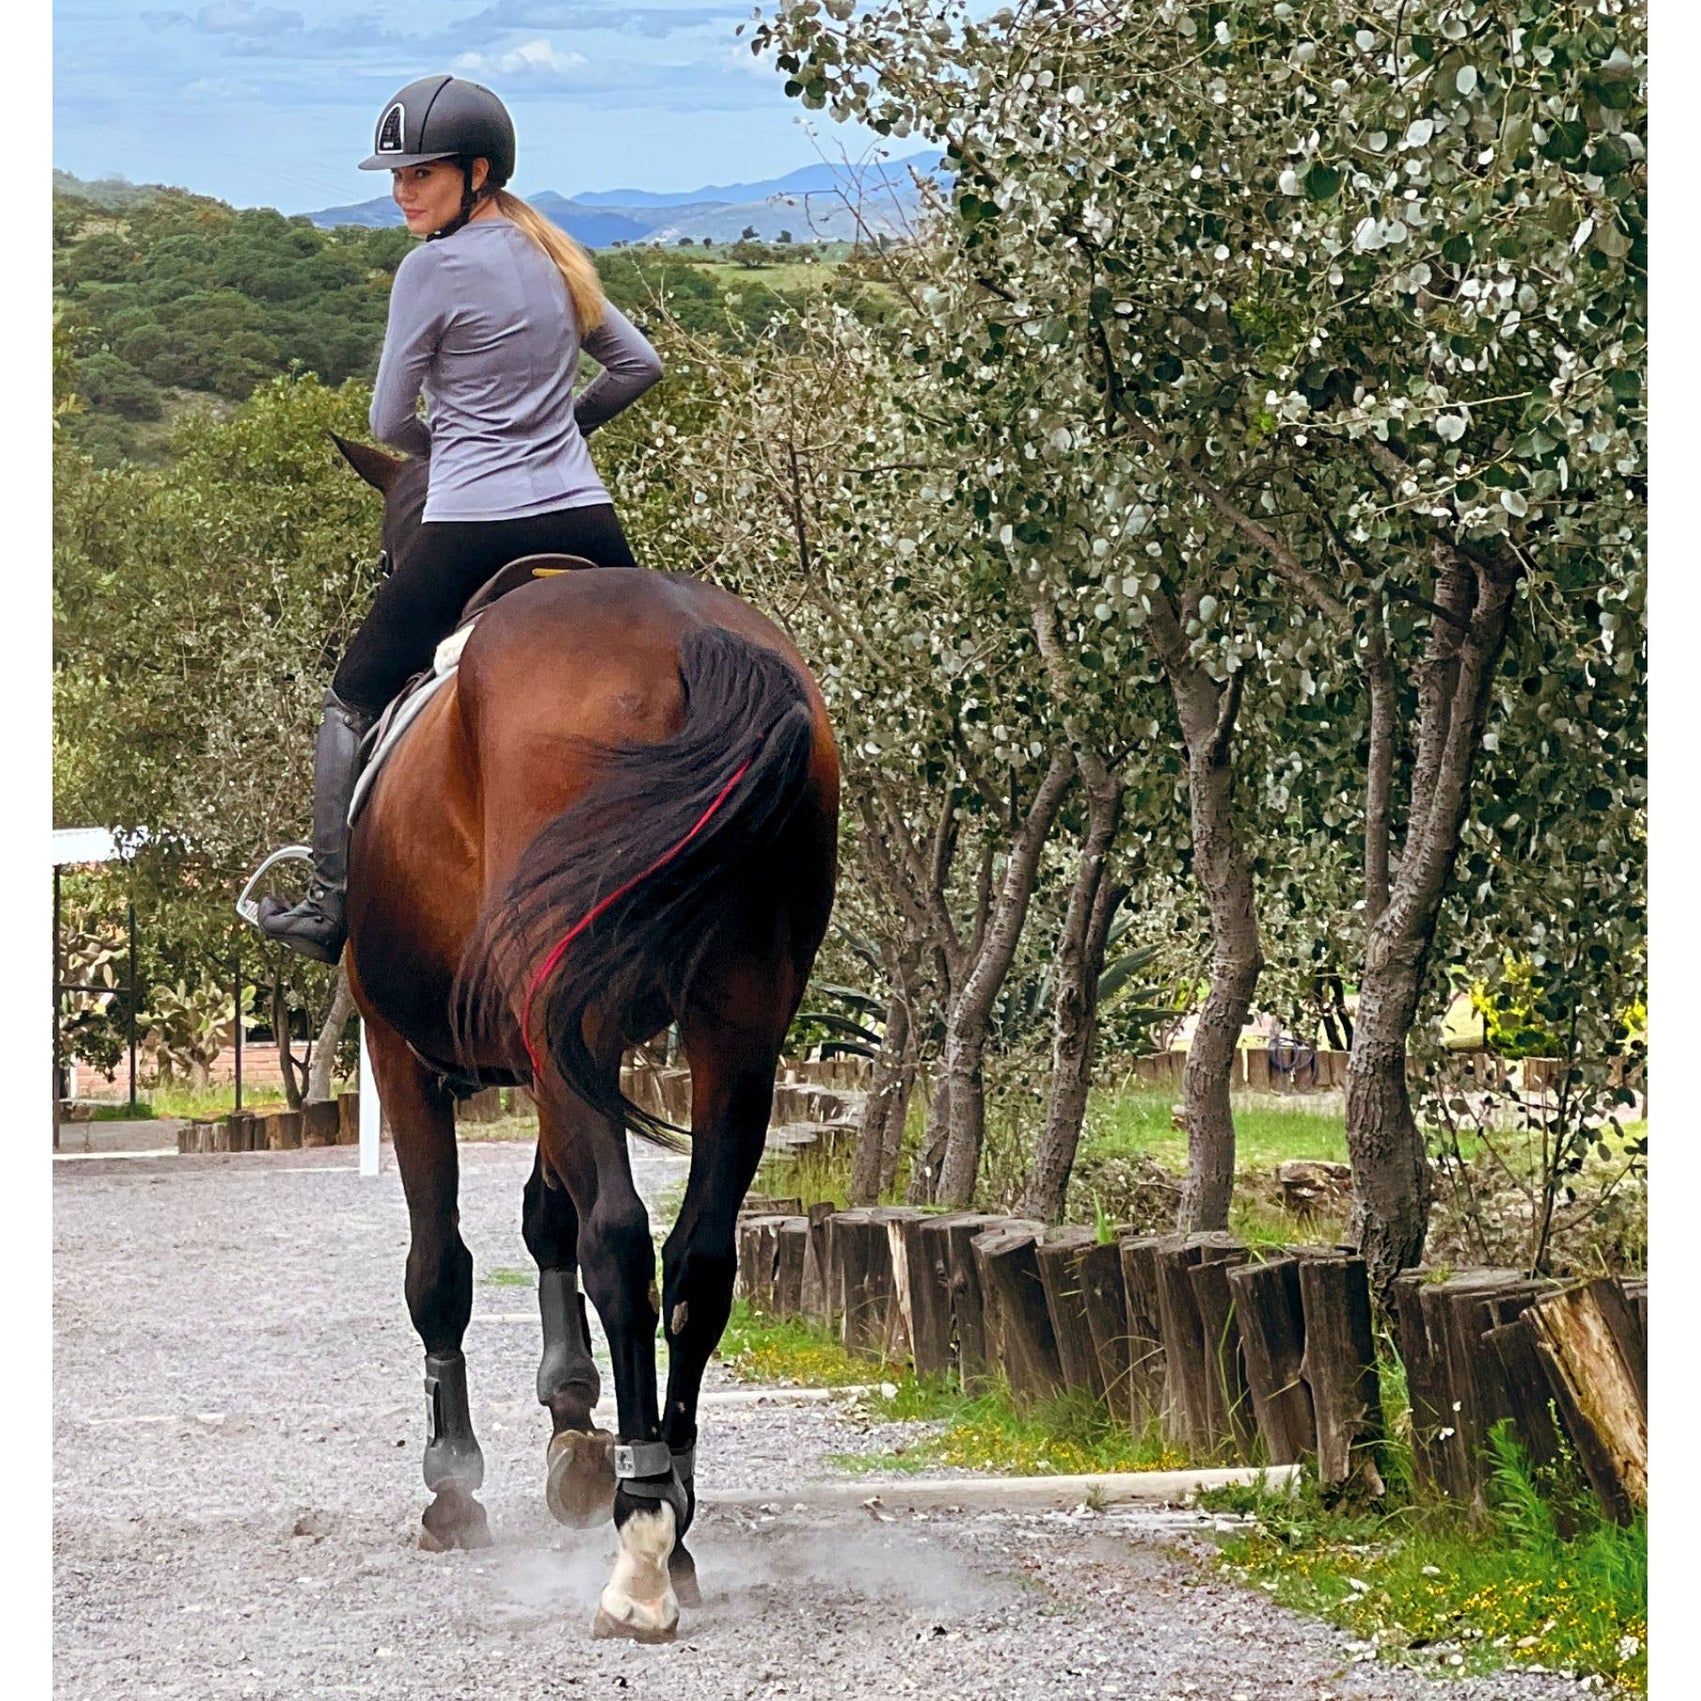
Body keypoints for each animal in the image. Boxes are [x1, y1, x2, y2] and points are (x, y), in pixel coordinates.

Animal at [324, 432, 836, 1639]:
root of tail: (689, 639)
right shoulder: (553, 1049)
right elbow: (542, 1218)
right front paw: (572, 1432)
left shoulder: (405, 1054)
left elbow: (443, 1264)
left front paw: (454, 1483)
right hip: (735, 1025)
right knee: (697, 1258)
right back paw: (672, 1517)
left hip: (567, 1024)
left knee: (619, 1242)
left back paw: (640, 1543)